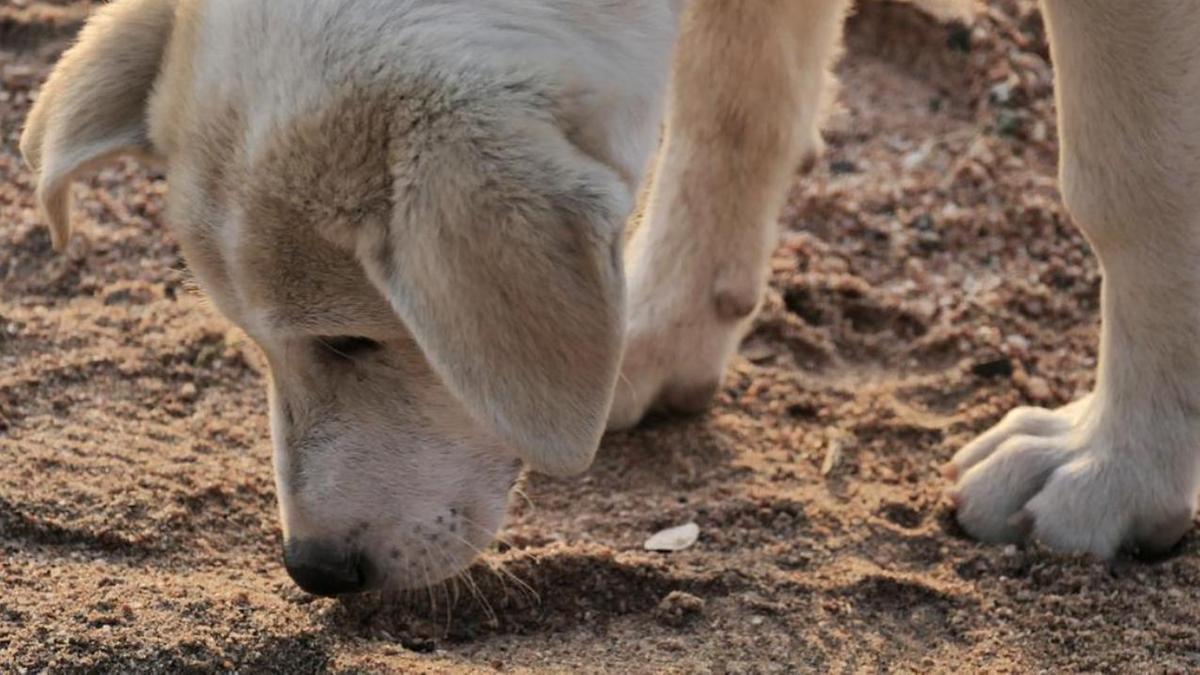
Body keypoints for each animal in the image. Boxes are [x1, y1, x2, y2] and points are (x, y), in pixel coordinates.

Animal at [21, 0, 1200, 593]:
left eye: (356, 341)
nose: (312, 572)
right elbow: (730, 96)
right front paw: (656, 336)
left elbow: (1132, 180)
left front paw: (1118, 465)